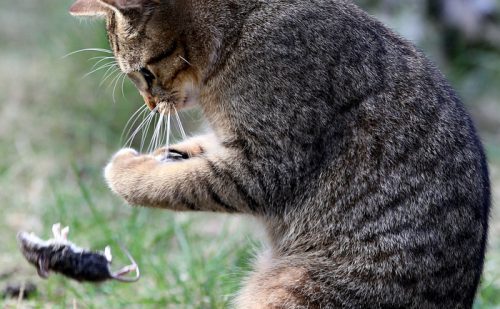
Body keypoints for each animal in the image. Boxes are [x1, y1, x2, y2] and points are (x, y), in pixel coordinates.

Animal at [68, 1, 490, 306]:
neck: (238, 30)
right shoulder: (225, 143)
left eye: (144, 73)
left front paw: (124, 172)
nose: (151, 105)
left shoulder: (264, 164)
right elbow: (186, 153)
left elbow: (177, 183)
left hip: (290, 291)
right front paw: (144, 158)